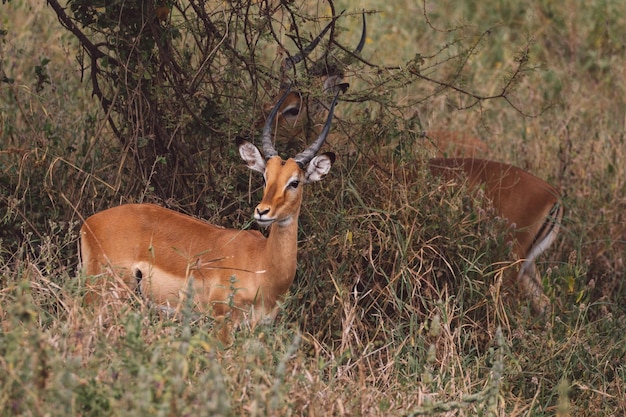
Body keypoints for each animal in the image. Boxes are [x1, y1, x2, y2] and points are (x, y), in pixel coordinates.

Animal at [81, 88, 342, 342]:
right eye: (265, 177)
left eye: (295, 182)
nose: (262, 211)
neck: (263, 266)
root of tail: (88, 223)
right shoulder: (222, 322)